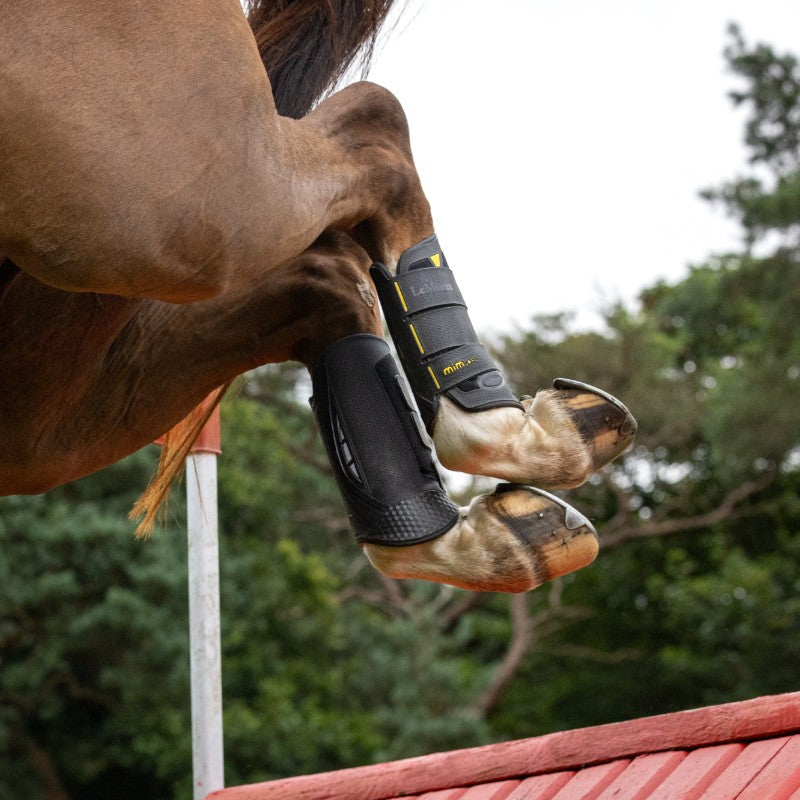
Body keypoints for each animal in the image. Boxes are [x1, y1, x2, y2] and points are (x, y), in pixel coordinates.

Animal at [0, 0, 636, 592]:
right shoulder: (177, 187)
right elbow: (381, 135)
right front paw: (507, 431)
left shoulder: (38, 422)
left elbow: (330, 286)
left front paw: (447, 539)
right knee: (377, 126)